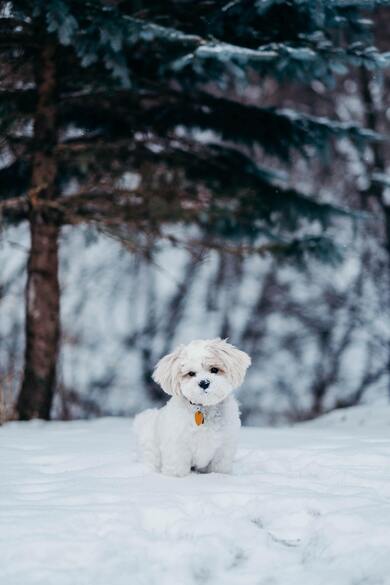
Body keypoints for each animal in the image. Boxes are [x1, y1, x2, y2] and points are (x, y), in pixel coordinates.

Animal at [133, 338, 251, 474]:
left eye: (214, 369)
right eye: (191, 373)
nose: (204, 382)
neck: (204, 407)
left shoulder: (224, 448)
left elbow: (219, 467)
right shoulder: (177, 445)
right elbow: (177, 466)